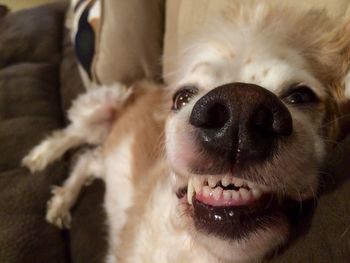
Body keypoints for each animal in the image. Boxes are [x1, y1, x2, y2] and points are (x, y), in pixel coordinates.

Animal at [21, 2, 350, 263]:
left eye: (301, 95)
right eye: (183, 97)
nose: (239, 113)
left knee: (88, 159)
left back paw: (62, 199)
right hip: (102, 107)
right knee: (70, 137)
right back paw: (42, 161)